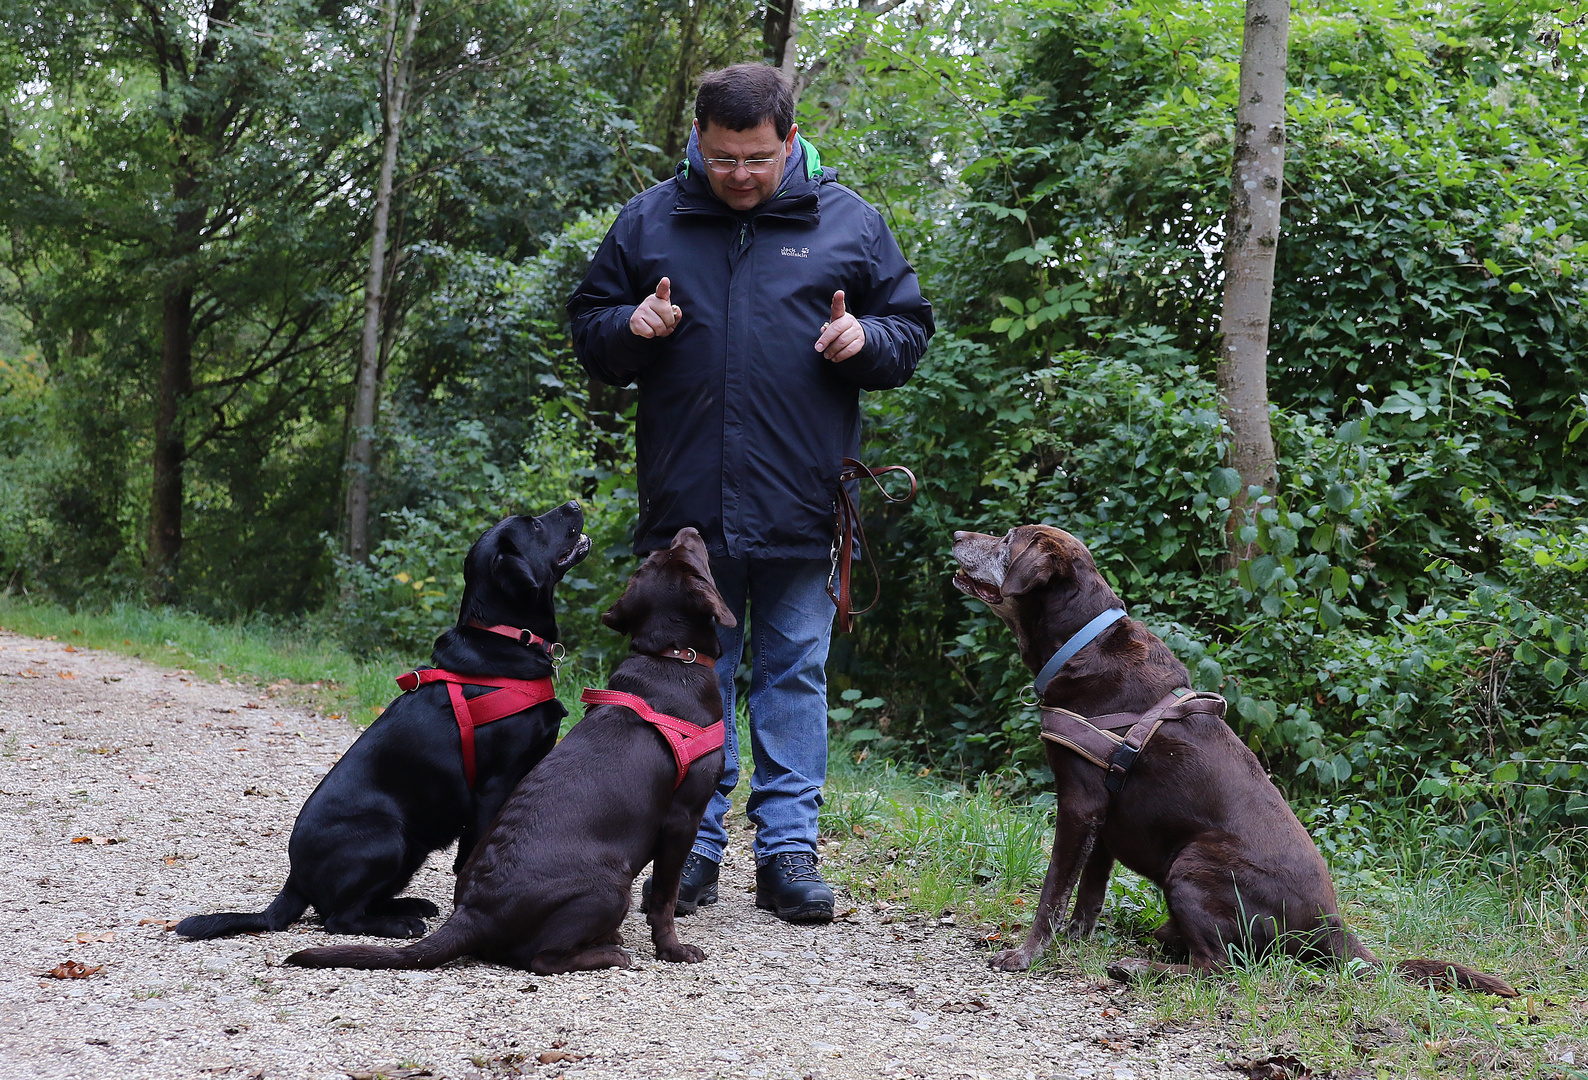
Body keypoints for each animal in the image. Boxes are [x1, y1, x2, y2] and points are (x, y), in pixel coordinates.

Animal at [173, 501, 593, 940]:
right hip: (389, 837)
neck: (506, 640)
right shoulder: (493, 786)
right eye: (534, 525)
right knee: (337, 919)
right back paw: (400, 922)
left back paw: (408, 905)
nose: (575, 504)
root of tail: (294, 882)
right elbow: (478, 850)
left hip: (412, 849)